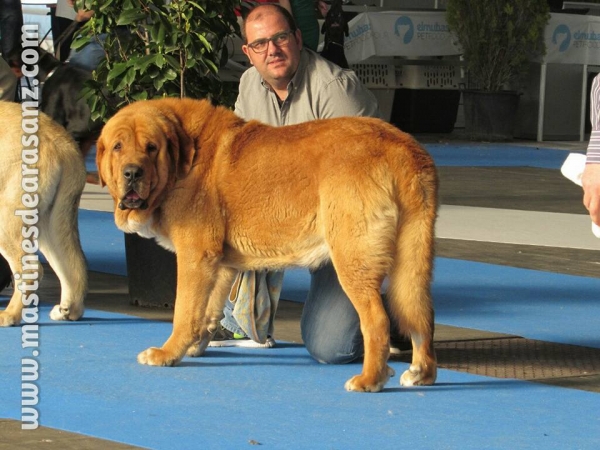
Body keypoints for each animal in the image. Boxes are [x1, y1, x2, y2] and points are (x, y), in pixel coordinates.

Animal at [0, 102, 88, 326]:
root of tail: (62, 143)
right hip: (52, 225)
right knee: (74, 268)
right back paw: (68, 311)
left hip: (7, 221)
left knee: (31, 270)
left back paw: (9, 315)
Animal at [96, 97, 438, 390]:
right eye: (118, 147)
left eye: (152, 148)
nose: (132, 172)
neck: (185, 157)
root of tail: (402, 147)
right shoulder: (220, 265)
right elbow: (207, 311)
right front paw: (195, 346)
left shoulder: (195, 257)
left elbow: (185, 310)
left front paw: (168, 354)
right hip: (413, 259)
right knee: (421, 313)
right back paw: (420, 374)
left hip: (353, 260)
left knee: (378, 320)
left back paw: (370, 379)